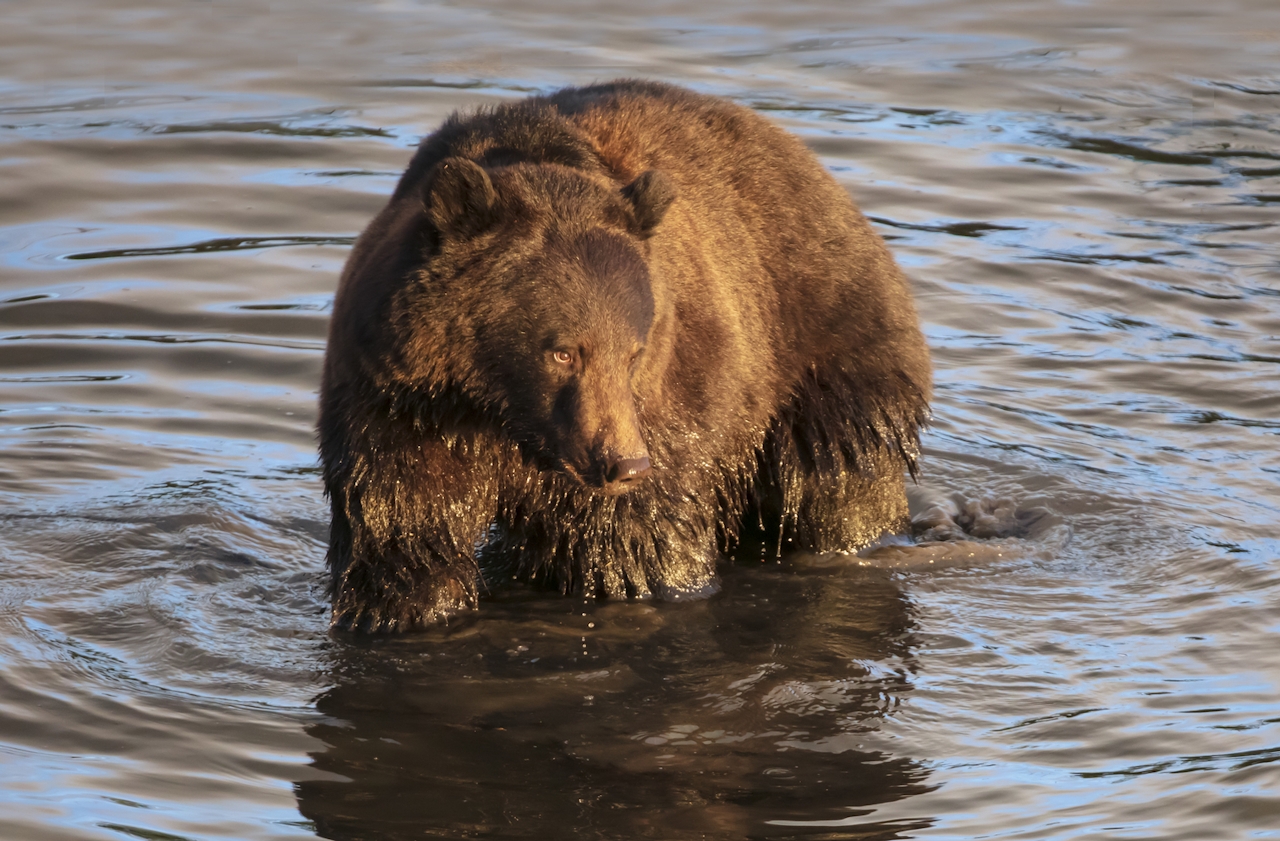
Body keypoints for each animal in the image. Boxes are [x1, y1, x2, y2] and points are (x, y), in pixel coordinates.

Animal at [320, 80, 931, 629]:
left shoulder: (668, 408)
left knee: (838, 482)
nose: (621, 463)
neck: (501, 416)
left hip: (827, 355)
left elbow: (637, 544)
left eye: (633, 353)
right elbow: (403, 526)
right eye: (564, 353)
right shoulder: (403, 403)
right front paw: (401, 606)